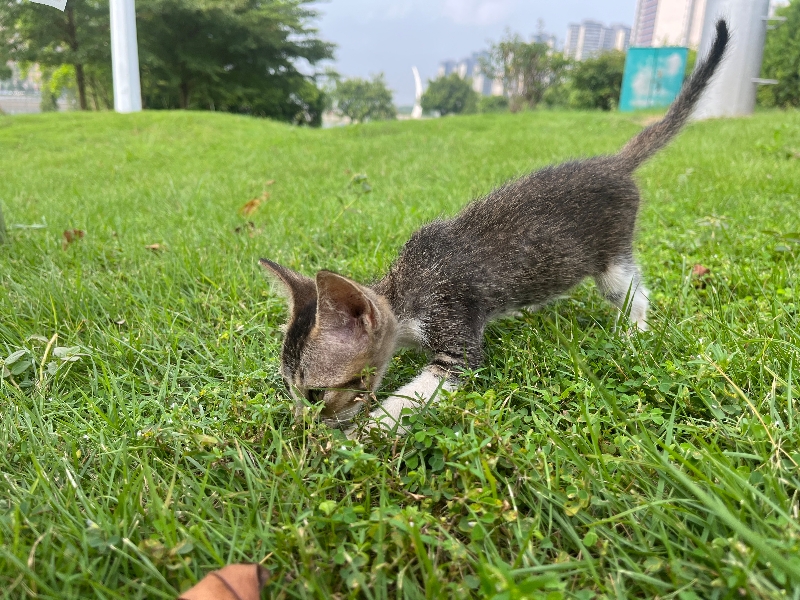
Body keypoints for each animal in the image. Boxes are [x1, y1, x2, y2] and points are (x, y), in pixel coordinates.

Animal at [262, 21, 732, 436]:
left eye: (316, 393)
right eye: (291, 390)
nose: (301, 424)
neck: (407, 289)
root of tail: (611, 163)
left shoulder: (454, 333)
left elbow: (417, 393)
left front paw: (369, 430)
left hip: (612, 260)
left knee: (634, 294)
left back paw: (635, 333)